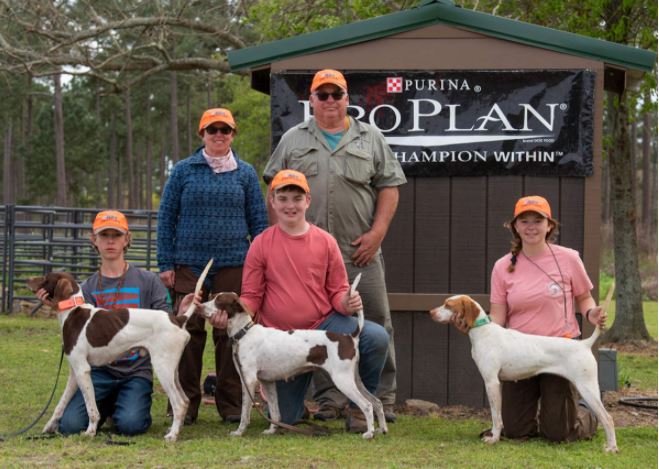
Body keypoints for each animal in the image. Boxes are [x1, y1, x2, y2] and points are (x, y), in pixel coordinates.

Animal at [29, 262, 211, 440]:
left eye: (46, 278)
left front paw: (90, 432)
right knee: (185, 400)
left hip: (162, 368)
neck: (72, 310)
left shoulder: (83, 370)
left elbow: (92, 409)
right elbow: (60, 405)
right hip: (172, 370)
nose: (28, 280)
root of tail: (177, 319)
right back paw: (176, 430)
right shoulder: (75, 373)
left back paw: (172, 435)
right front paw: (49, 427)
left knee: (179, 403)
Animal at [199, 274, 390, 438]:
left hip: (343, 380)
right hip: (355, 379)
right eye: (212, 296)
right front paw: (272, 430)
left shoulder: (249, 381)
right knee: (377, 403)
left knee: (367, 405)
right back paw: (382, 429)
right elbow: (275, 412)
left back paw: (369, 433)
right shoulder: (267, 382)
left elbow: (245, 412)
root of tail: (350, 337)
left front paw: (239, 432)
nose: (199, 306)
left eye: (218, 301)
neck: (244, 333)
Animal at [430, 294, 616, 452]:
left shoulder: (491, 382)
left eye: (448, 305)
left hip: (587, 388)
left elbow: (496, 417)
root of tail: (584, 344)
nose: (431, 312)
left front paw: (494, 438)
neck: (483, 333)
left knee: (607, 418)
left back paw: (611, 448)